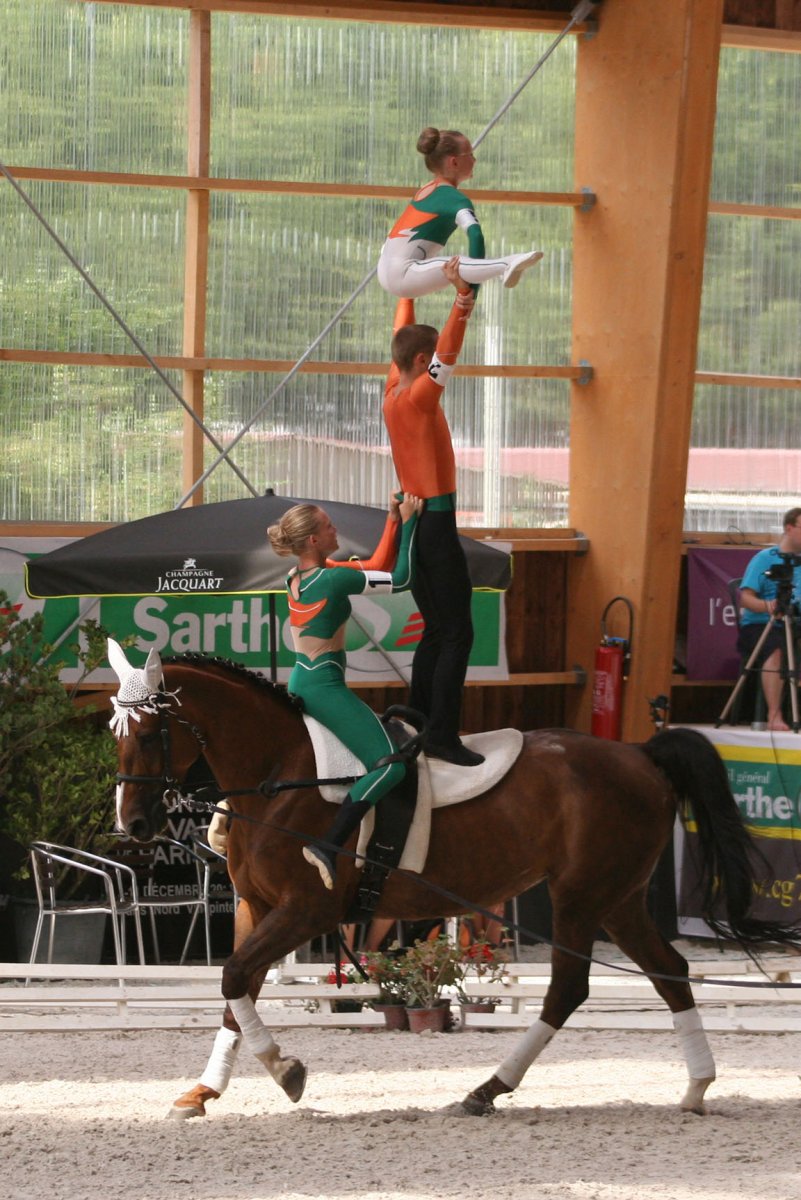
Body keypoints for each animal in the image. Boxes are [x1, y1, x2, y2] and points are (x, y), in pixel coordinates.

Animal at [107, 643, 801, 1118]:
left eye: (151, 731)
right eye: (115, 733)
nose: (133, 823)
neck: (282, 776)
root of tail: (640, 753)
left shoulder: (307, 911)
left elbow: (233, 978)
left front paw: (287, 1072)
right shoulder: (256, 905)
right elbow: (236, 989)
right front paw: (202, 1092)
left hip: (580, 896)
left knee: (569, 988)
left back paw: (487, 1089)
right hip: (619, 898)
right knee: (669, 973)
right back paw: (695, 1088)